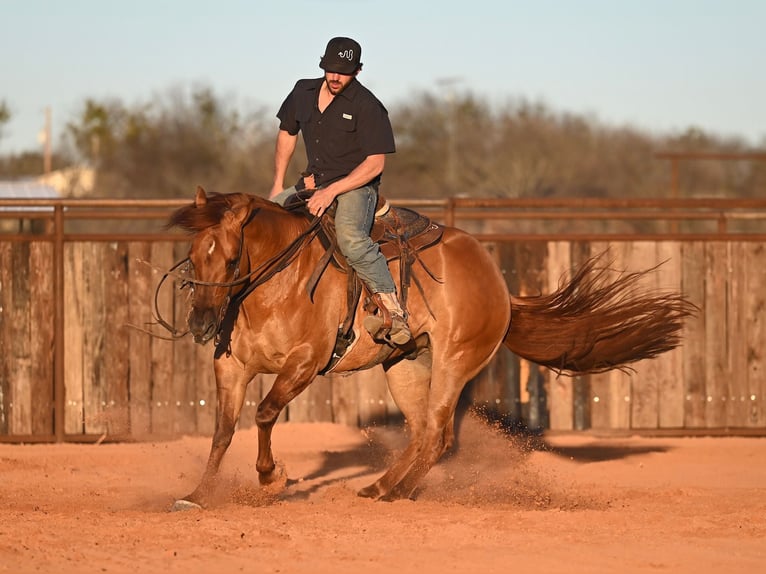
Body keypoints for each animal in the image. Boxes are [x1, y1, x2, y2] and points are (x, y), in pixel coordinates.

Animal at [165, 187, 700, 510]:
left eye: (230, 258)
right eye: (191, 255)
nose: (201, 322)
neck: (280, 284)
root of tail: (500, 286)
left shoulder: (304, 363)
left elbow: (264, 413)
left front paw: (271, 478)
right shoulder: (231, 367)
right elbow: (222, 431)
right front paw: (198, 494)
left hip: (454, 363)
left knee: (439, 436)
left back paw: (388, 489)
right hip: (405, 368)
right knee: (424, 432)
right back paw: (383, 487)